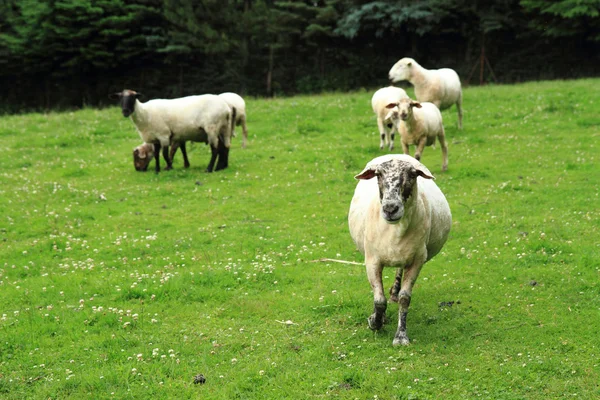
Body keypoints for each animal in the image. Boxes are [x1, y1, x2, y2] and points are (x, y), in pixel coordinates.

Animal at [346, 155, 450, 346]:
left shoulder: (417, 260)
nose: (390, 209)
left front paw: (401, 336)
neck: (394, 231)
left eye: (412, 174)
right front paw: (375, 322)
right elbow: (379, 300)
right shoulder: (372, 260)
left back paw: (394, 292)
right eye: (378, 175)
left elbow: (405, 298)